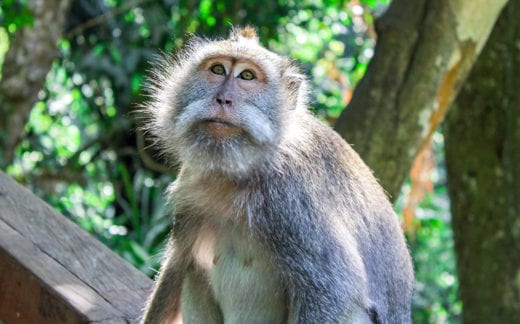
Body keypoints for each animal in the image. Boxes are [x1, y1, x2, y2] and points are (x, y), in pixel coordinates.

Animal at [141, 26, 414, 322]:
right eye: (217, 70)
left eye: (247, 76)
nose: (223, 99)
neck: (240, 172)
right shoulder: (192, 182)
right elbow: (180, 260)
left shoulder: (293, 201)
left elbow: (335, 291)